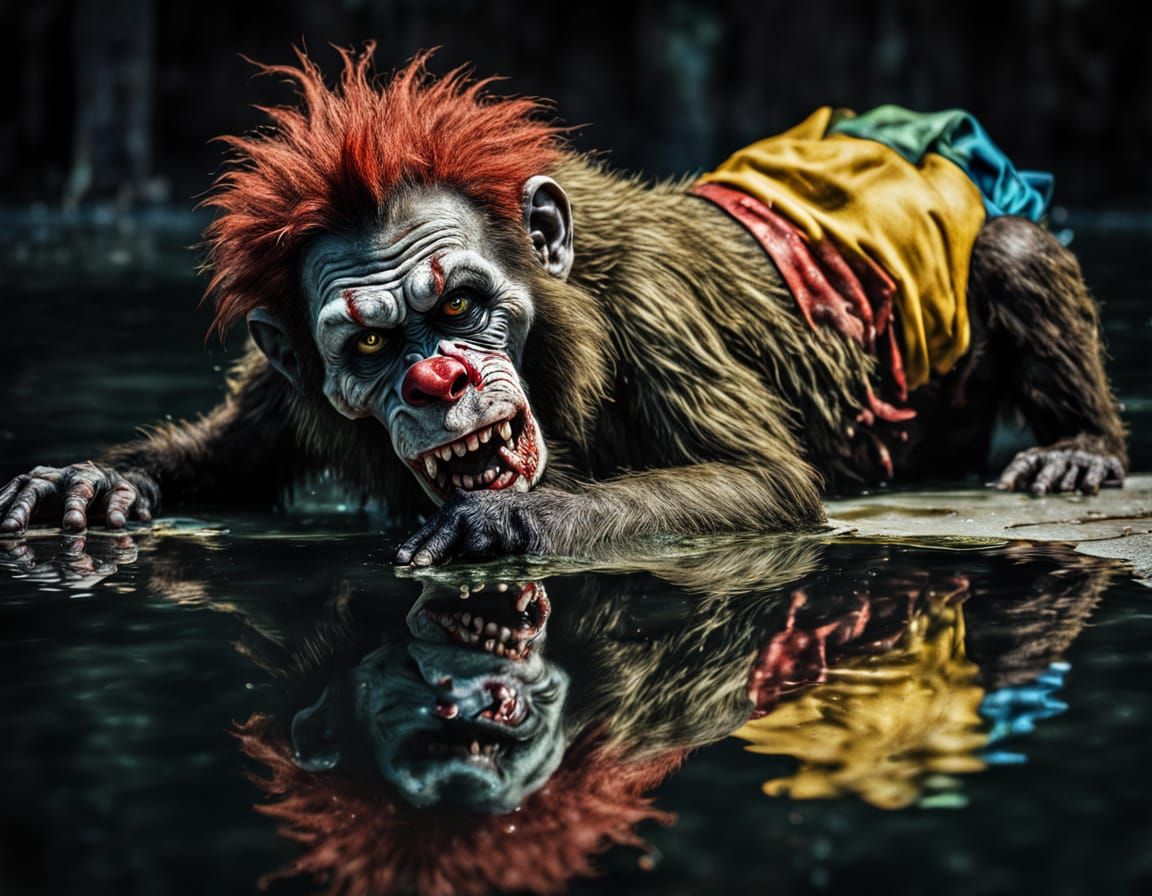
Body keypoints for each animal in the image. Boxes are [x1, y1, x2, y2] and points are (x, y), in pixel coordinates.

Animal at [0, 44, 1128, 566]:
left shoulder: (655, 311)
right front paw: (93, 480)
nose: (436, 377)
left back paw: (1078, 446)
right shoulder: (289, 385)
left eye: (460, 305)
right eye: (370, 342)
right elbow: (234, 447)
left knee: (1012, 245)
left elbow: (763, 478)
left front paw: (511, 518)